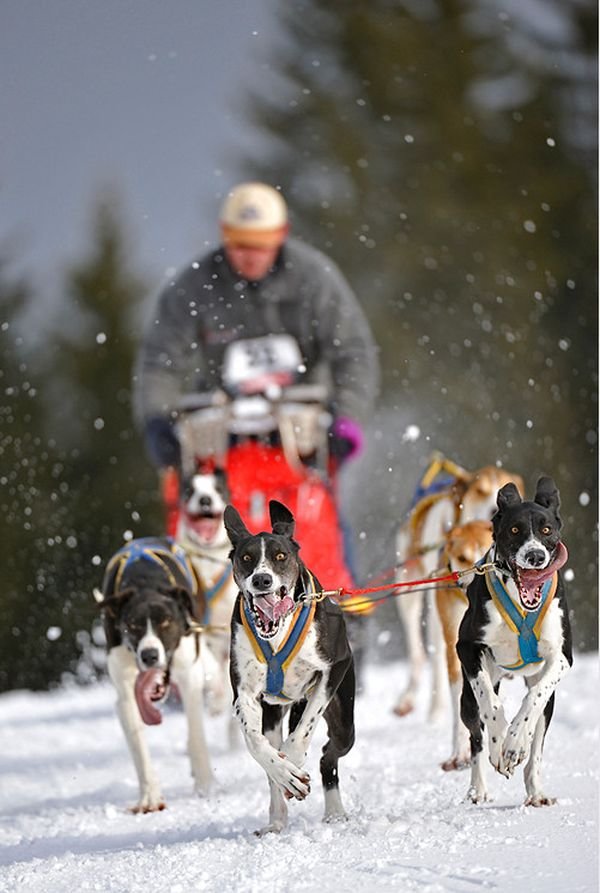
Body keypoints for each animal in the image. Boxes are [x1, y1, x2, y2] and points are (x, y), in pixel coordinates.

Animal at [225, 498, 356, 832]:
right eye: (246, 557)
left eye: (280, 556)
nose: (262, 579)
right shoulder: (244, 694)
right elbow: (256, 743)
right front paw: (284, 771)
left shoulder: (333, 668)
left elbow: (305, 727)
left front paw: (293, 757)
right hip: (272, 712)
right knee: (272, 760)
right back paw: (277, 818)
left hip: (344, 724)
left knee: (327, 756)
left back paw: (334, 811)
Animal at [458, 478, 576, 804]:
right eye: (514, 530)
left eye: (546, 530)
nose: (535, 556)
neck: (522, 607)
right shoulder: (467, 648)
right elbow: (489, 699)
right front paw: (501, 741)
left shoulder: (562, 656)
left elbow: (534, 697)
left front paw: (514, 741)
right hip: (466, 702)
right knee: (475, 737)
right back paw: (477, 788)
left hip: (549, 707)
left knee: (537, 740)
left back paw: (535, 788)